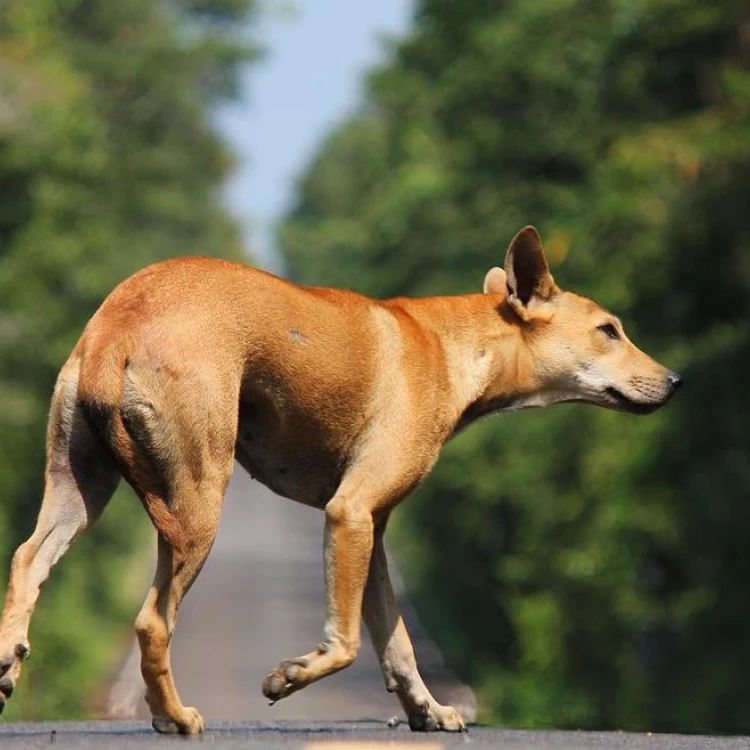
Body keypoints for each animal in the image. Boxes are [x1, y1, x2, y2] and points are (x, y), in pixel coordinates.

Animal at [0, 228, 680, 736]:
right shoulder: (350, 512)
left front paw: (427, 711)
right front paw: (291, 676)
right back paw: (174, 717)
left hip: (79, 489)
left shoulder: (373, 530)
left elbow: (396, 641)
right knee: (152, 622)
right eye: (609, 330)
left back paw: (8, 660)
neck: (457, 345)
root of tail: (116, 323)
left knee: (28, 560)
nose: (675, 381)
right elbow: (349, 641)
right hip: (197, 505)